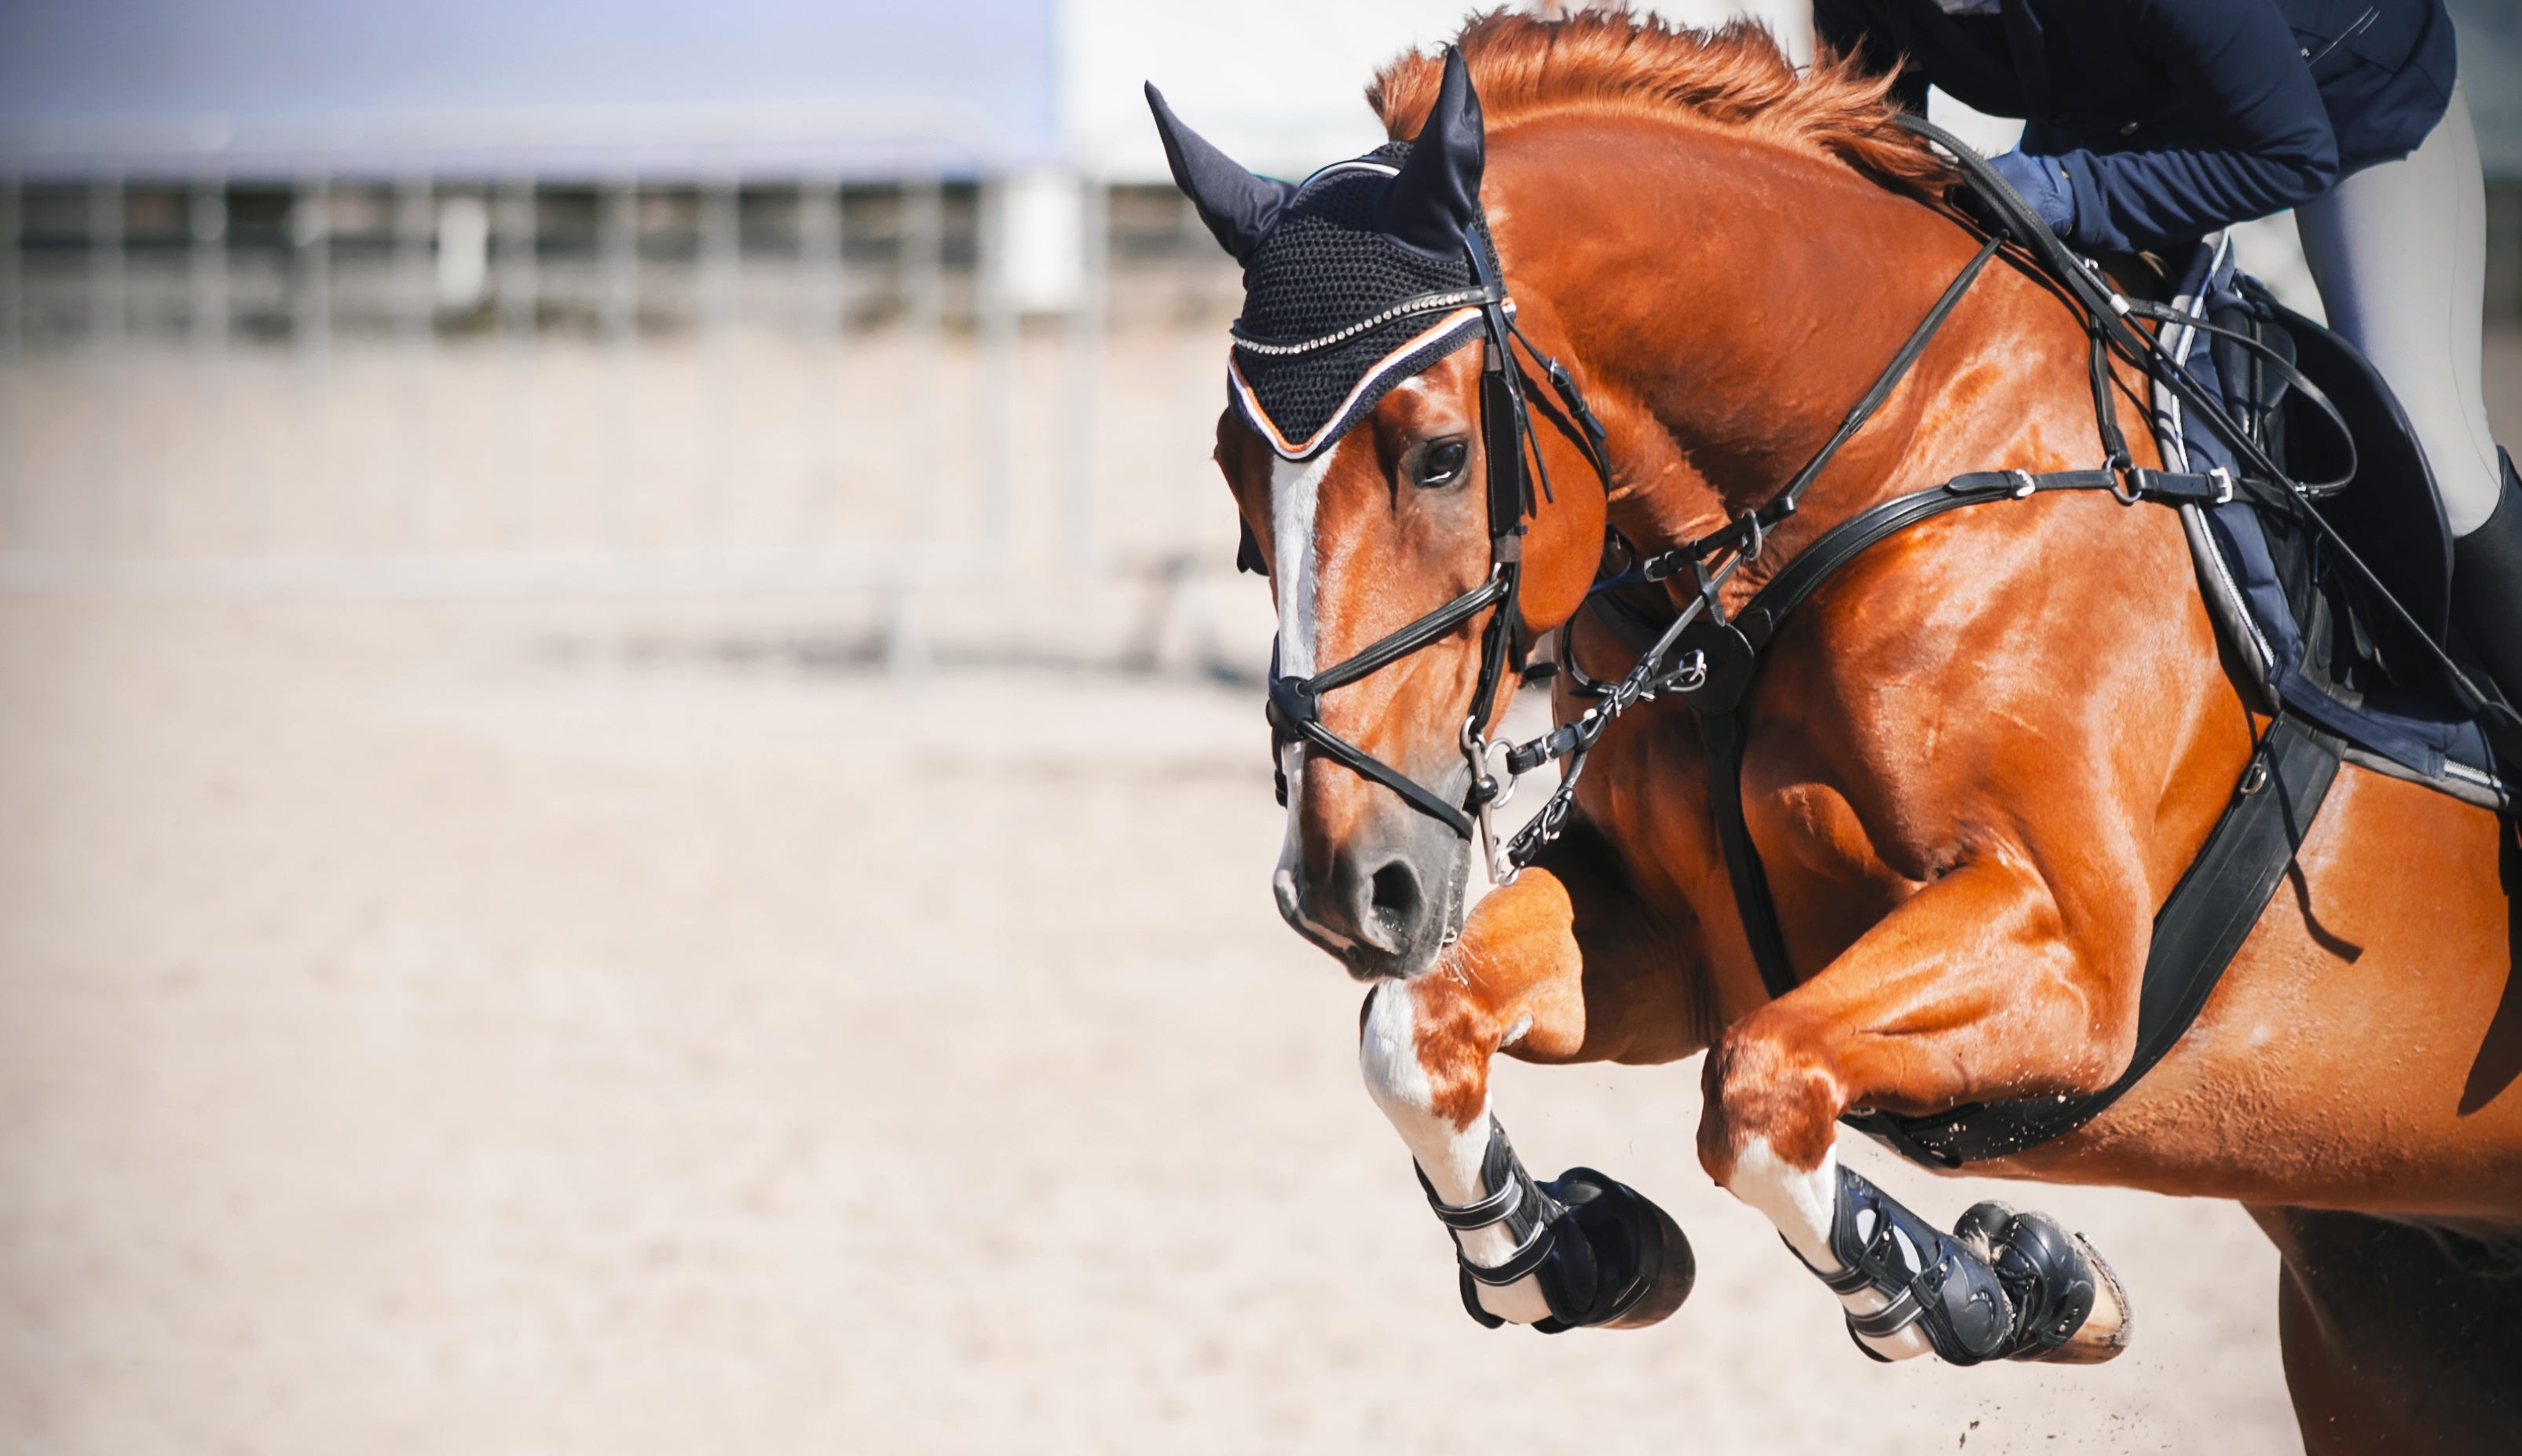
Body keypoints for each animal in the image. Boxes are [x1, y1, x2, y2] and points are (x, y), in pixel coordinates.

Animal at [1154, 11, 2522, 1450]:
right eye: (1233, 475)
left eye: (1436, 456)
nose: (1344, 884)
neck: (1870, 466)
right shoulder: (1671, 932)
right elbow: (1415, 1032)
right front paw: (1572, 1251)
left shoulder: (2070, 956)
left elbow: (1759, 1089)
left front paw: (1996, 1284)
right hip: (2387, 1316)